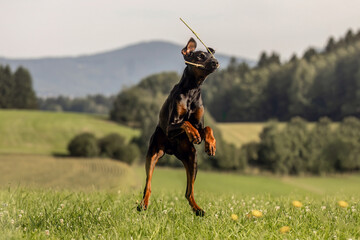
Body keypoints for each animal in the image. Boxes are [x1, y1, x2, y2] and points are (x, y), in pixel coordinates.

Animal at [137, 38, 217, 218]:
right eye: (201, 56)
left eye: (211, 54)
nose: (216, 62)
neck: (192, 89)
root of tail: (171, 150)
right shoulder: (170, 126)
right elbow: (185, 123)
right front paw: (193, 135)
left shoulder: (199, 124)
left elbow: (207, 128)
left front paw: (210, 144)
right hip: (153, 154)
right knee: (148, 185)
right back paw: (143, 205)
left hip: (192, 159)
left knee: (189, 191)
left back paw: (198, 210)